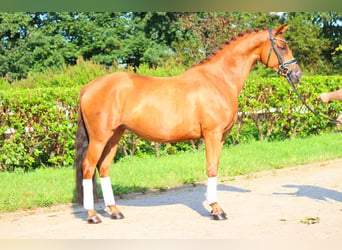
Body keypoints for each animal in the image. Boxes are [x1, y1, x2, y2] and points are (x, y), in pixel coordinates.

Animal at [75, 24, 302, 223]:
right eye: (282, 47)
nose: (297, 75)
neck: (218, 79)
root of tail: (88, 87)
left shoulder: (221, 137)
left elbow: (215, 166)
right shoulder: (212, 134)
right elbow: (211, 168)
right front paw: (217, 210)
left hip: (115, 136)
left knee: (104, 168)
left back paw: (114, 211)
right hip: (99, 138)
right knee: (88, 167)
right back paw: (93, 215)